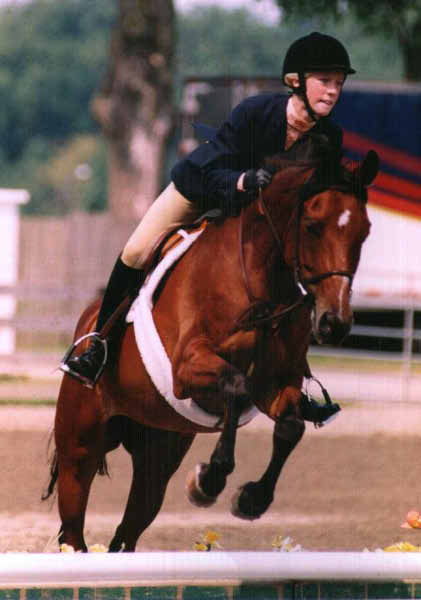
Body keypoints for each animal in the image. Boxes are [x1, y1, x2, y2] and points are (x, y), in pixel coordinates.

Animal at [42, 148, 378, 552]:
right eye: (313, 226)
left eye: (365, 232)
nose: (335, 323)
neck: (262, 281)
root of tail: (89, 322)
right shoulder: (188, 367)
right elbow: (236, 386)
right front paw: (210, 479)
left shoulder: (276, 383)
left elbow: (290, 425)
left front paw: (251, 499)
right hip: (80, 448)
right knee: (73, 526)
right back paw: (89, 359)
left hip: (158, 453)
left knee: (128, 529)